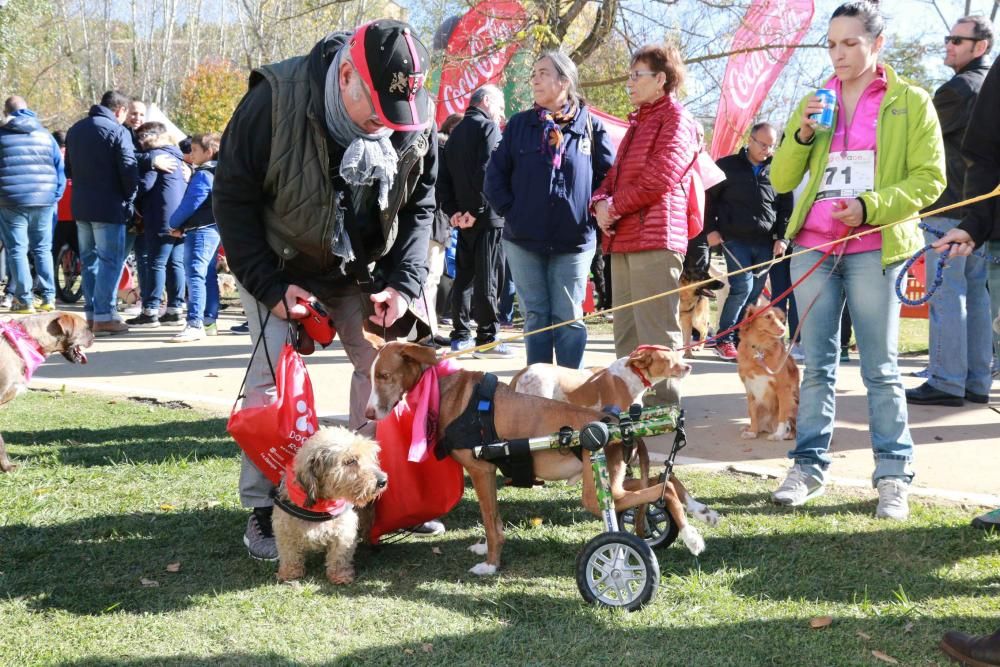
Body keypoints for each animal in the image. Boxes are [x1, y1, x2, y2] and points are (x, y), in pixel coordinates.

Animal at [272, 428, 388, 584]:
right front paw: (290, 573)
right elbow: (289, 553)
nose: (383, 481)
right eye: (350, 461)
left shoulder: (344, 530)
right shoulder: (285, 529)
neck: (320, 505)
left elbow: (339, 556)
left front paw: (340, 576)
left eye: (369, 457)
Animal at [732, 306, 800, 440]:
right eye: (768, 316)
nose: (783, 329)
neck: (760, 348)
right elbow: (752, 412)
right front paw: (753, 432)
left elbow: (782, 415)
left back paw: (784, 434)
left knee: (792, 428)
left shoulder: (783, 389)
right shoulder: (749, 388)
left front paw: (778, 434)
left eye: (781, 319)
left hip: (794, 403)